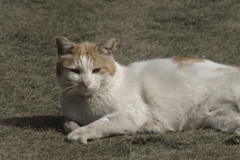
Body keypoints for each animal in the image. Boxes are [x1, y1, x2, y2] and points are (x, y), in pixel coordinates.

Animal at [56, 37, 240, 144]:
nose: (85, 83)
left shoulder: (134, 114)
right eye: (75, 71)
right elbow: (66, 122)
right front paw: (74, 126)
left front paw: (79, 133)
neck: (86, 103)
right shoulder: (69, 112)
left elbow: (101, 123)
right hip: (220, 118)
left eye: (96, 70)